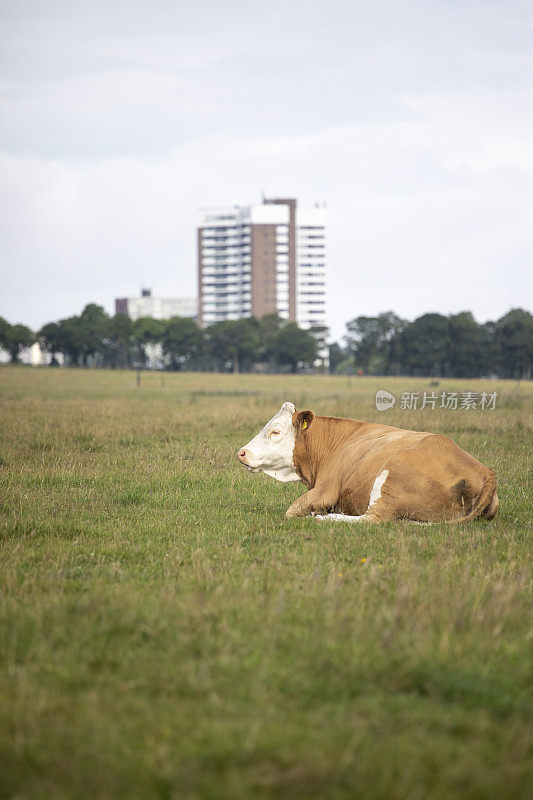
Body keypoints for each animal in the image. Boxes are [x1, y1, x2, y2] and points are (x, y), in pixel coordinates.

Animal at [237, 400, 494, 524]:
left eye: (275, 431)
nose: (242, 452)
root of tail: (485, 472)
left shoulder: (325, 489)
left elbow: (291, 511)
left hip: (390, 479)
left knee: (373, 518)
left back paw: (328, 518)